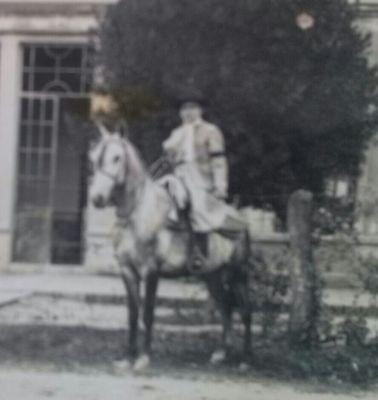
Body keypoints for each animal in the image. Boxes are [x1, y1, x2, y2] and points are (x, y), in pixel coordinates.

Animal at [89, 128, 252, 372]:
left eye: (117, 158)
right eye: (93, 158)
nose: (97, 198)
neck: (138, 214)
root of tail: (241, 219)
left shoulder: (150, 272)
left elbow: (147, 313)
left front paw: (143, 358)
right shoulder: (127, 271)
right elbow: (132, 314)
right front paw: (128, 357)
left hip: (238, 274)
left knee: (246, 310)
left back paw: (245, 360)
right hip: (212, 276)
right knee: (225, 307)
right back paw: (222, 353)